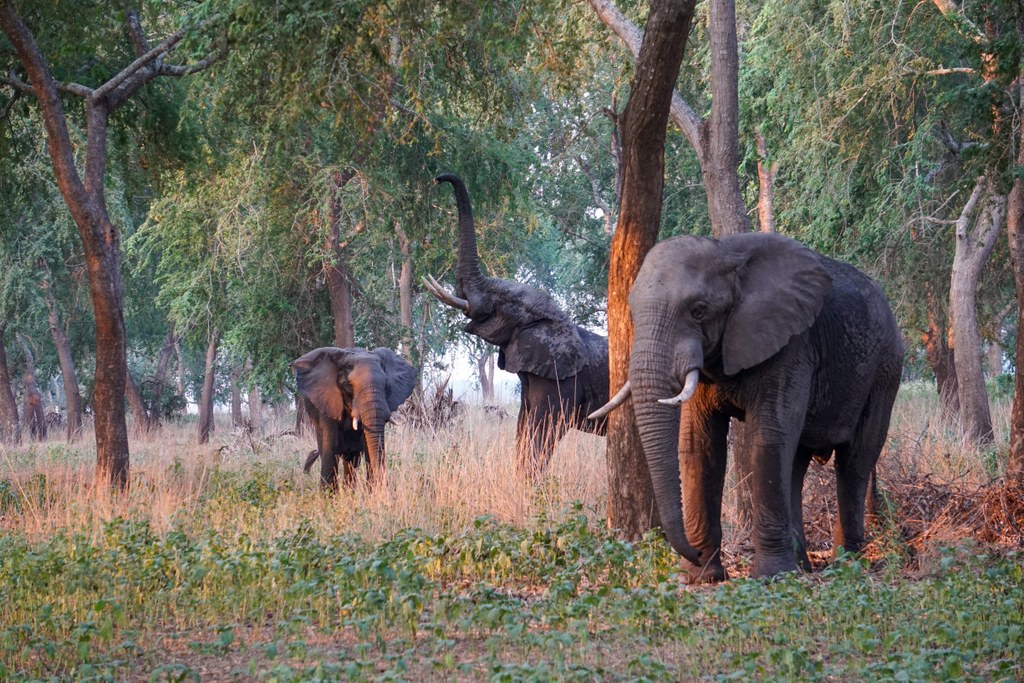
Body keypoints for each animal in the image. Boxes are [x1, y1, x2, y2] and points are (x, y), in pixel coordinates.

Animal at [288, 348, 415, 491]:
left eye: (386, 386)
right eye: (348, 385)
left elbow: (367, 446)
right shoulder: (328, 401)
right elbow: (330, 449)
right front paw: (327, 494)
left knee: (352, 459)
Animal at [423, 172, 606, 481]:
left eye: (503, 301)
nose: (438, 179)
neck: (556, 321)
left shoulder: (562, 380)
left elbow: (544, 429)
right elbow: (523, 427)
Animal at [593, 233, 905, 581]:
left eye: (698, 311)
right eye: (633, 312)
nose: (691, 552)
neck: (727, 252)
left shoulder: (791, 344)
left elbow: (767, 439)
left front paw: (769, 577)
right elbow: (699, 446)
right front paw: (703, 577)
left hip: (886, 368)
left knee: (855, 459)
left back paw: (844, 565)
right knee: (797, 463)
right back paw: (801, 566)